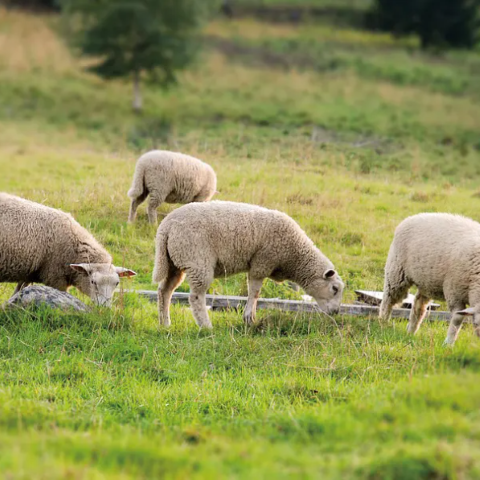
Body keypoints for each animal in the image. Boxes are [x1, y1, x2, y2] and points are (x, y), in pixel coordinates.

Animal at [0, 193, 135, 306]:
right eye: (93, 282)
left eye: (117, 283)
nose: (104, 308)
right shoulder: (55, 278)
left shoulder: (30, 273)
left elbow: (17, 292)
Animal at [152, 201, 344, 328]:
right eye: (334, 289)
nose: (336, 313)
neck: (294, 256)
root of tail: (166, 227)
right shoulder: (262, 262)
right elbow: (255, 292)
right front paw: (249, 318)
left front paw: (250, 317)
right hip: (197, 260)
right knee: (196, 297)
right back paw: (206, 326)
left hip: (174, 262)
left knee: (165, 291)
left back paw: (165, 323)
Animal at [378, 214, 480, 344]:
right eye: (476, 323)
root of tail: (411, 217)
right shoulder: (453, 293)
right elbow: (457, 319)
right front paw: (448, 343)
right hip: (396, 272)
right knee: (388, 299)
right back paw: (383, 322)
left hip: (426, 283)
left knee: (418, 305)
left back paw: (411, 331)